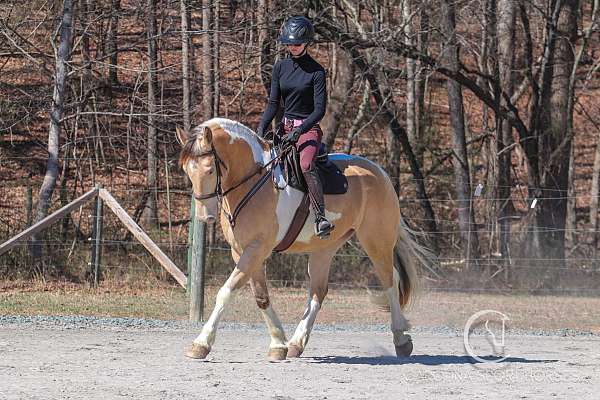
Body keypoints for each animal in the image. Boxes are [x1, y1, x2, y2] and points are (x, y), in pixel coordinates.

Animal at [176, 117, 428, 360]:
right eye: (187, 171)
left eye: (210, 170)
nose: (204, 216)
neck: (254, 181)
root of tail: (379, 172)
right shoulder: (242, 251)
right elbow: (261, 297)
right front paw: (278, 344)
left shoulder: (257, 249)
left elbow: (225, 292)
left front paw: (201, 343)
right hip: (325, 249)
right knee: (318, 291)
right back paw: (297, 343)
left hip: (376, 241)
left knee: (390, 281)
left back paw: (401, 339)